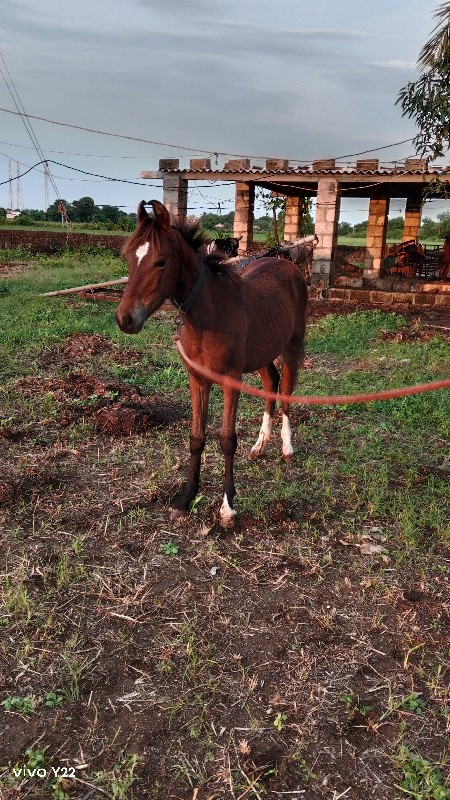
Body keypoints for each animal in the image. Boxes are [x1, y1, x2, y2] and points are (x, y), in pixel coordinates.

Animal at [114, 202, 308, 524]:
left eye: (161, 261)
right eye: (129, 257)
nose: (125, 319)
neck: (210, 315)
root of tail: (287, 263)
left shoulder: (231, 380)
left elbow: (227, 439)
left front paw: (227, 507)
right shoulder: (198, 380)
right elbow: (197, 437)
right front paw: (185, 499)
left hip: (293, 347)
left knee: (286, 392)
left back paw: (286, 447)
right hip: (262, 352)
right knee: (271, 382)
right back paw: (259, 445)